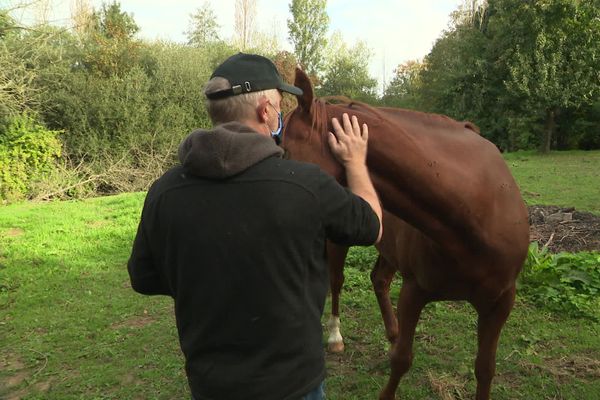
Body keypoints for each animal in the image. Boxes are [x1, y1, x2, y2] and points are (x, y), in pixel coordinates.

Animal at [282, 69, 528, 400]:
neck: (477, 210)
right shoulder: (414, 291)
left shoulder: (500, 302)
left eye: (284, 152)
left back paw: (391, 331)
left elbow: (485, 368)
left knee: (379, 279)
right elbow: (401, 359)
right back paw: (336, 336)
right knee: (337, 281)